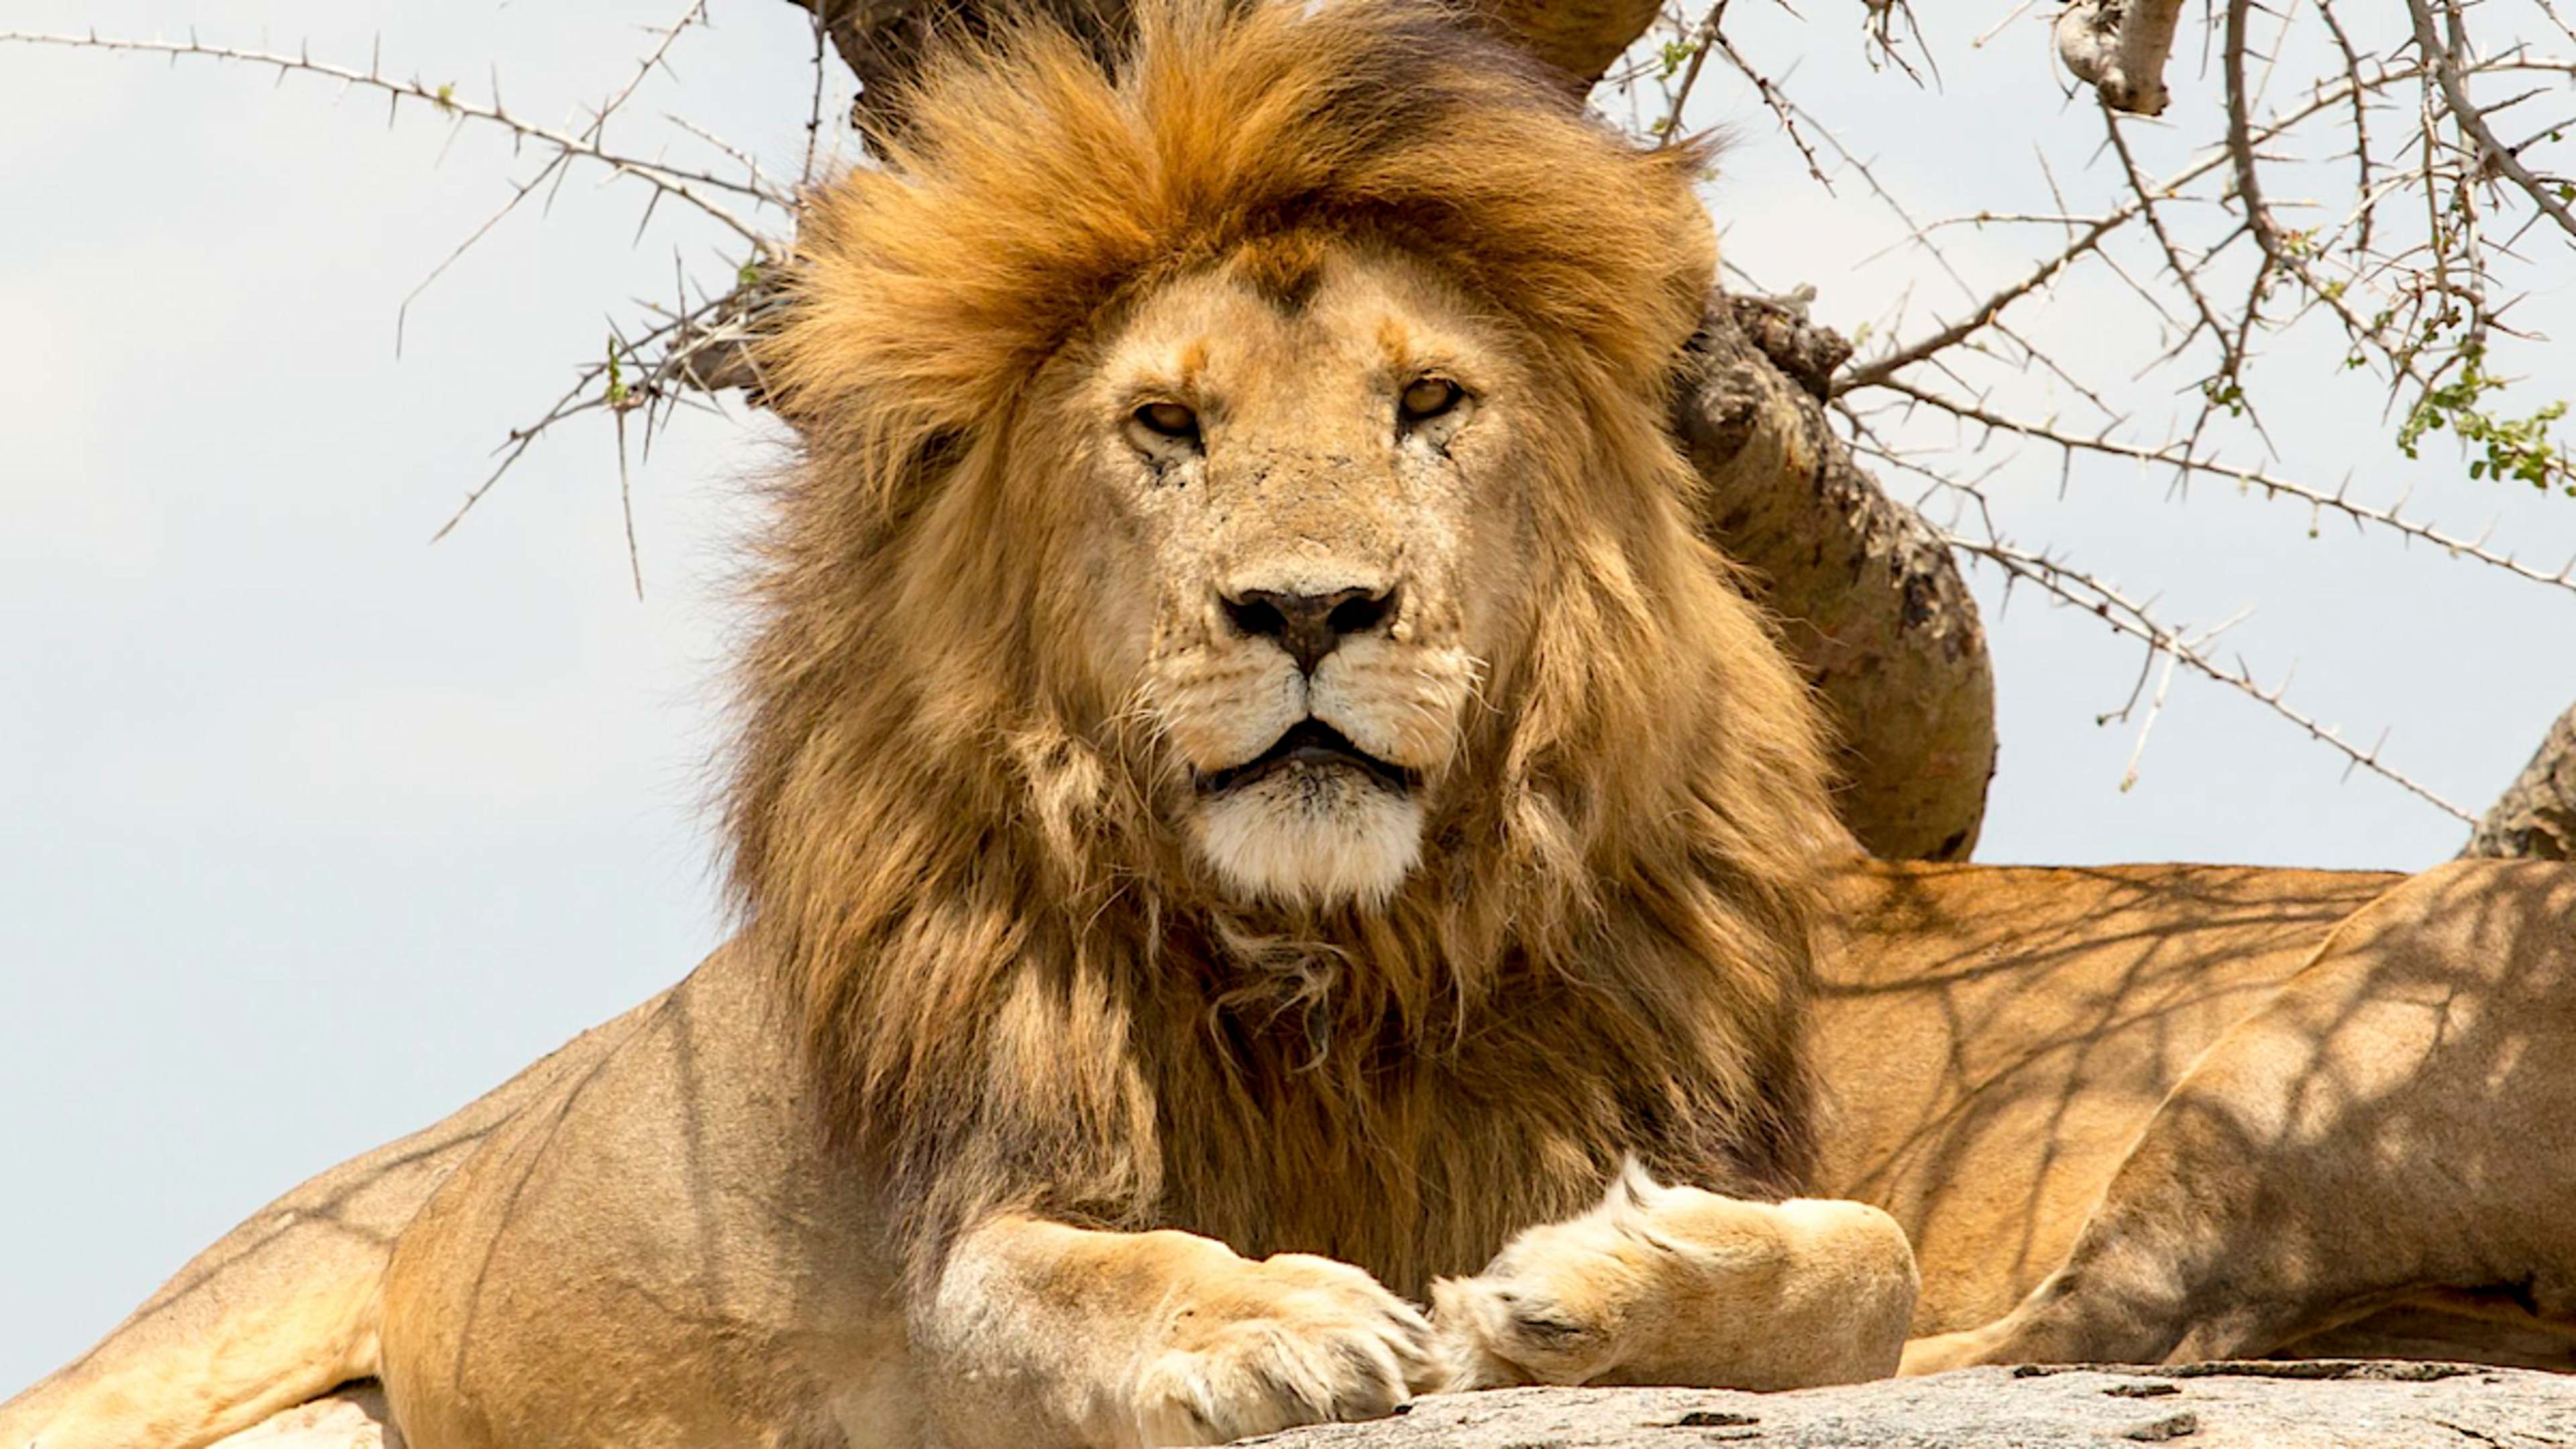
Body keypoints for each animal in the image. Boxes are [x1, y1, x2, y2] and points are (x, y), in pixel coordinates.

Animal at [8, 1, 2576, 1446]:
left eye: (1430, 406)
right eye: (1164, 428)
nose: (1313, 607)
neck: (1337, 967)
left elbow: (1857, 1267)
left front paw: (1595, 1303)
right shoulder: (965, 1247)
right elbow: (1061, 1283)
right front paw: (1266, 1332)